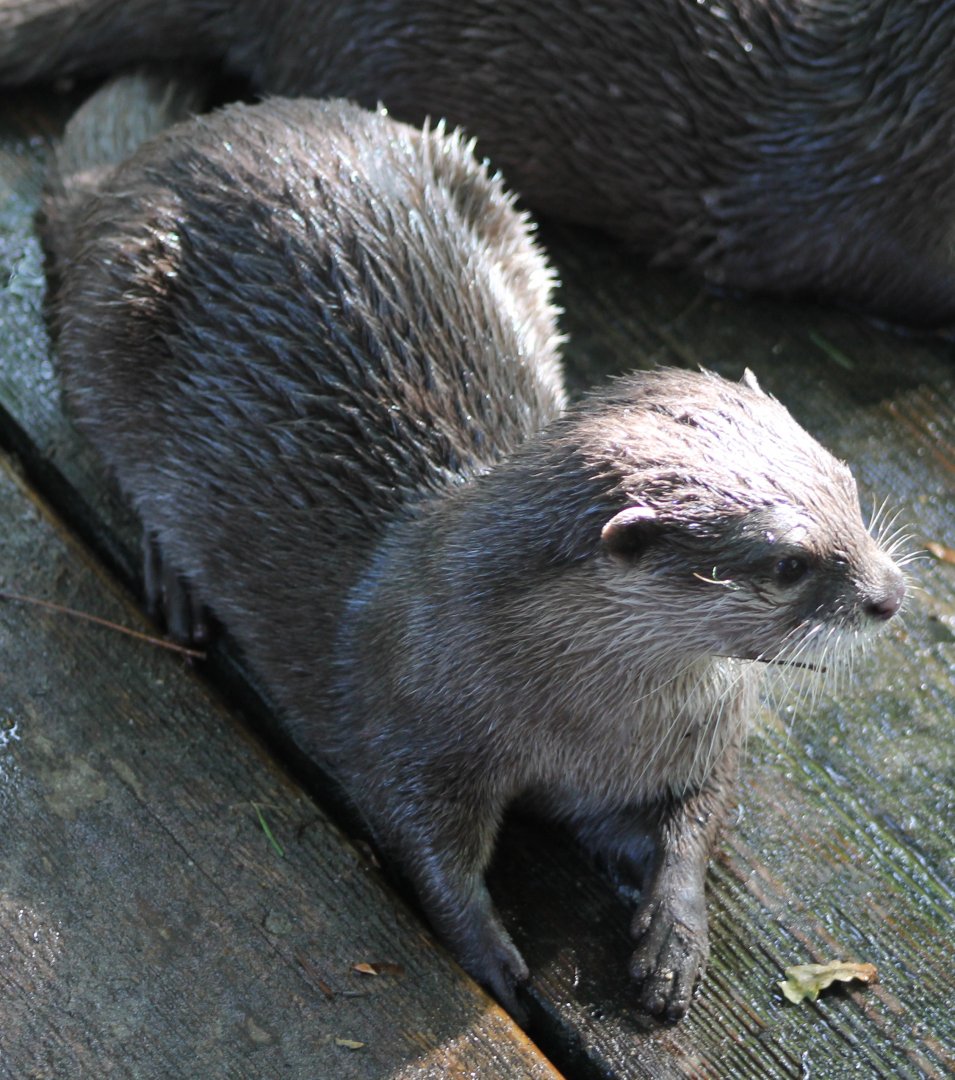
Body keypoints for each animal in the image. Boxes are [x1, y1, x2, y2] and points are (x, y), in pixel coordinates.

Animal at [42, 74, 906, 1020]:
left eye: (847, 485)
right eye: (788, 564)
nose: (889, 595)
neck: (577, 721)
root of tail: (145, 162)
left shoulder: (693, 738)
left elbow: (697, 820)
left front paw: (672, 936)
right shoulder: (408, 722)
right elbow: (423, 844)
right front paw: (495, 958)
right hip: (117, 304)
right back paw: (172, 578)